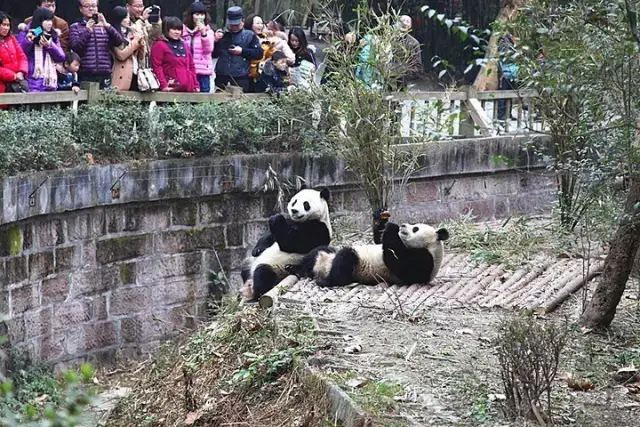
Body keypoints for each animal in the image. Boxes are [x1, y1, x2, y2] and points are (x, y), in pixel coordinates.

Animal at [296, 222, 450, 290]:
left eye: (415, 228)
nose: (403, 225)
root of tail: (320, 267)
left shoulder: (425, 261)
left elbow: (400, 266)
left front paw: (391, 229)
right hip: (326, 254)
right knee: (318, 252)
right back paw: (297, 268)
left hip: (355, 267)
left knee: (344, 261)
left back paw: (325, 281)